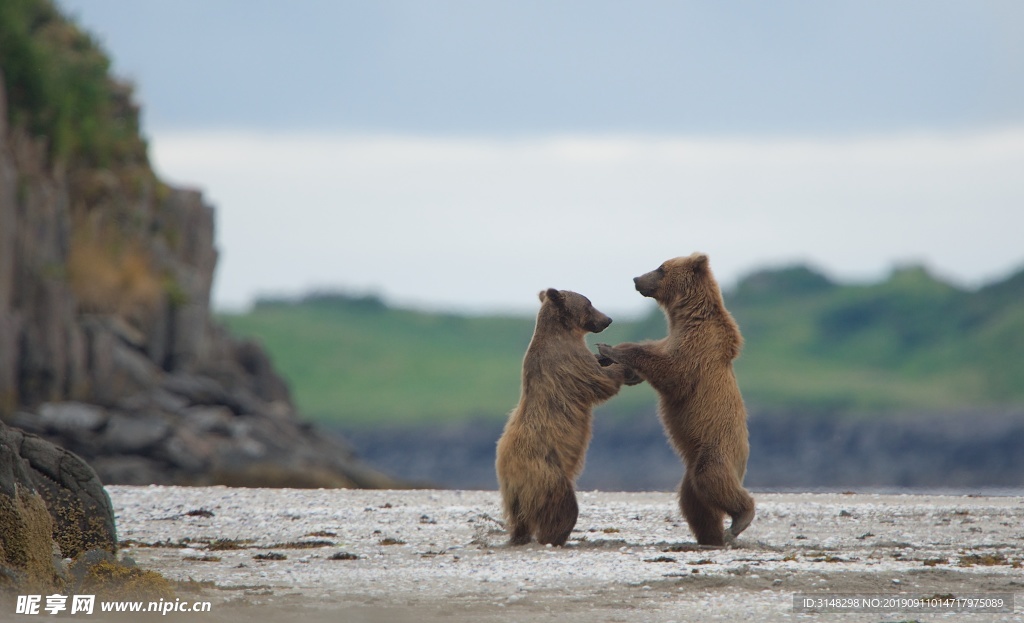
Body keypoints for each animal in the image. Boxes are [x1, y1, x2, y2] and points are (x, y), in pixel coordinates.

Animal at [493, 286, 634, 545]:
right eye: (589, 303)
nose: (608, 319)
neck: (564, 332)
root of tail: (509, 471)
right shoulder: (570, 361)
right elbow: (600, 381)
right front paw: (622, 364)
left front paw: (606, 354)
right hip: (546, 473)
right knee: (563, 506)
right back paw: (556, 536)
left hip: (512, 493)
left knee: (519, 517)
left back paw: (520, 535)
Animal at [598, 253, 757, 545]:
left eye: (661, 268)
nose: (636, 279)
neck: (685, 317)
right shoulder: (671, 339)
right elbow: (652, 354)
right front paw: (608, 357)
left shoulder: (698, 348)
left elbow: (672, 374)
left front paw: (609, 349)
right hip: (691, 468)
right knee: (693, 500)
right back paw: (710, 536)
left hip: (717, 447)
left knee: (713, 478)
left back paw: (739, 520)